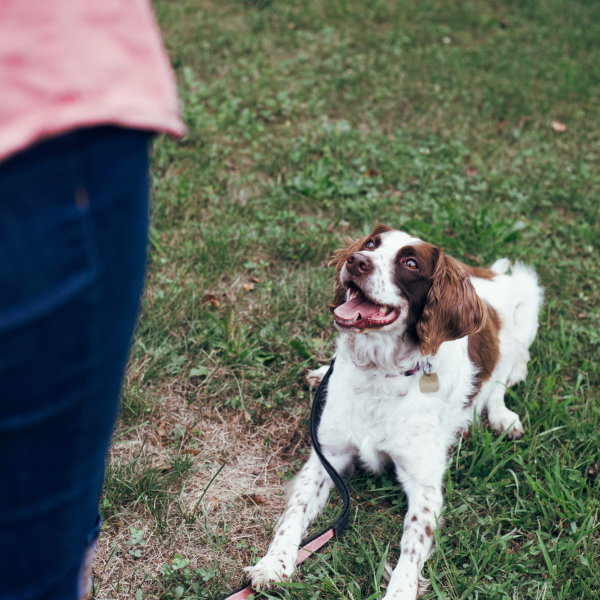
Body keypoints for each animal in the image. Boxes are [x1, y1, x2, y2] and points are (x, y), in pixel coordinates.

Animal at [244, 223, 544, 596]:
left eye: (411, 263)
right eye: (371, 244)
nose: (357, 261)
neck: (379, 372)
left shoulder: (424, 485)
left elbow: (411, 546)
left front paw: (399, 592)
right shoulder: (327, 455)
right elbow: (294, 513)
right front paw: (274, 564)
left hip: (527, 302)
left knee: (504, 376)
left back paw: (502, 417)